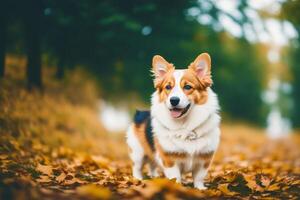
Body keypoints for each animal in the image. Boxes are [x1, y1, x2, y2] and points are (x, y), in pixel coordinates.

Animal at [126, 53, 220, 189]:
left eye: (187, 87)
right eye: (168, 87)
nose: (174, 100)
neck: (185, 125)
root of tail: (141, 113)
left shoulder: (204, 160)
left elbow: (198, 177)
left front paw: (200, 189)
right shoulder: (169, 160)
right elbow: (175, 177)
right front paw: (177, 187)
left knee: (152, 165)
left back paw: (154, 177)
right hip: (138, 152)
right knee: (137, 167)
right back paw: (138, 180)